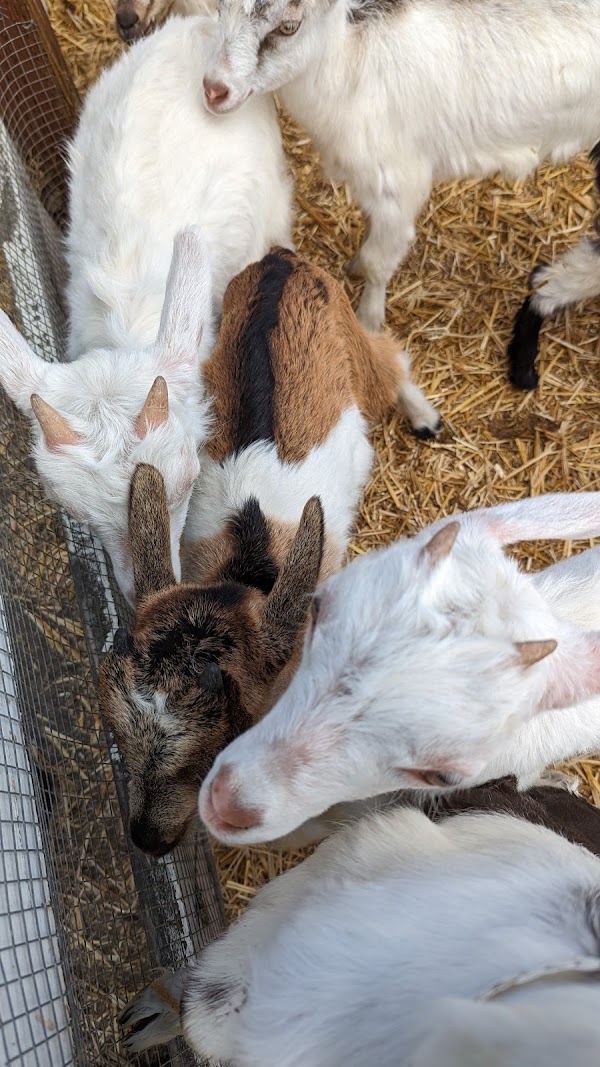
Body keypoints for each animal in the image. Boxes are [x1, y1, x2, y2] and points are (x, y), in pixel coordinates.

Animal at [98, 245, 438, 857]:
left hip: (358, 352)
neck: (249, 569)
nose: (149, 841)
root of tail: (284, 261)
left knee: (389, 357)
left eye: (220, 749)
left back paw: (425, 416)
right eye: (114, 731)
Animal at [203, 0, 600, 332]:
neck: (348, 60)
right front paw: (355, 265)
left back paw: (555, 288)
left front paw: (368, 319)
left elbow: (380, 261)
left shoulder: (398, 184)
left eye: (288, 27)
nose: (213, 89)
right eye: (221, 6)